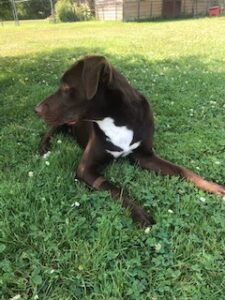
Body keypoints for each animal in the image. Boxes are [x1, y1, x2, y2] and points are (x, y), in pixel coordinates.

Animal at [35, 55, 225, 226]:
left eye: (66, 87)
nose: (36, 109)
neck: (117, 120)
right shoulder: (85, 169)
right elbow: (114, 188)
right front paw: (139, 213)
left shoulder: (145, 156)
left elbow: (182, 171)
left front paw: (213, 187)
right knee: (49, 131)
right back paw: (44, 148)